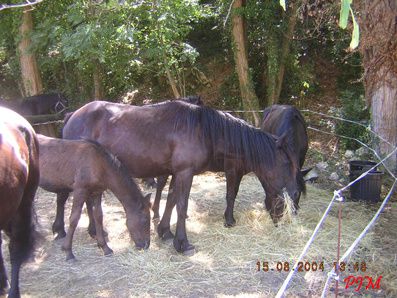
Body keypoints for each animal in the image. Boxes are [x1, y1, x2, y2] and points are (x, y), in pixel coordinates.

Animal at [63, 100, 302, 254]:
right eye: (285, 163)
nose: (294, 195)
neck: (203, 130)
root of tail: (72, 116)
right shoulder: (186, 173)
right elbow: (182, 205)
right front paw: (183, 243)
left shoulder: (178, 173)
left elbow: (170, 200)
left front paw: (164, 232)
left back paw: (96, 233)